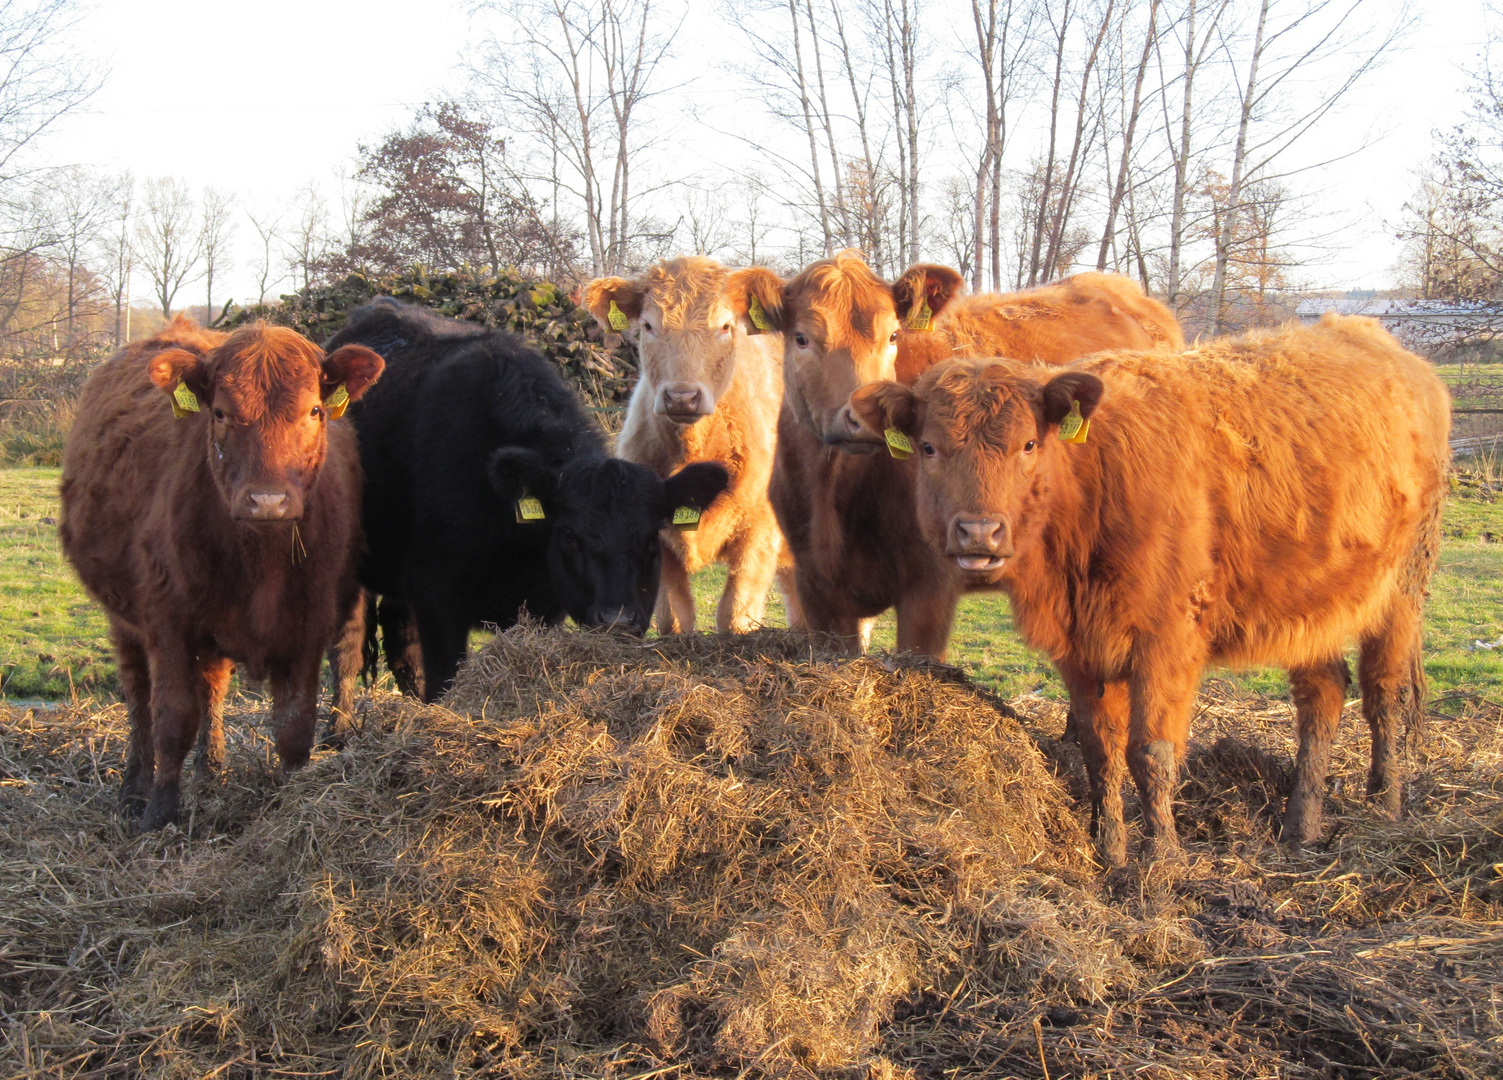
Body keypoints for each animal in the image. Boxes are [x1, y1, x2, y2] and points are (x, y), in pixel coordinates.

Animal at [61, 316, 384, 835]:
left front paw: (289, 801)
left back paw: (213, 772)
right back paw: (134, 790)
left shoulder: (308, 624)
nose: (267, 500)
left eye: (315, 410)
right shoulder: (168, 621)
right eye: (219, 413)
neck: (261, 564)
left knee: (214, 686)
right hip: (125, 621)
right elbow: (172, 718)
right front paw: (160, 812)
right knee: (139, 699)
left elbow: (294, 726)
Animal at [327, 297, 727, 699]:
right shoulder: (436, 601)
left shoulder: (542, 605)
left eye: (650, 537)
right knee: (347, 653)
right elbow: (442, 680)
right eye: (569, 535)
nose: (617, 620)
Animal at [583, 258, 805, 633]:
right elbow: (675, 617)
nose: (682, 397)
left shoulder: (759, 533)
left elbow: (733, 614)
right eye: (648, 325)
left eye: (726, 326)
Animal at [859, 310, 1454, 859]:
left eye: (1028, 444)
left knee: (1385, 694)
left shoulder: (1168, 641)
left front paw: (1163, 861)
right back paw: (1300, 824)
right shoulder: (1081, 649)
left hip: (1402, 588)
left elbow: (1151, 752)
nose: (979, 532)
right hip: (1312, 599)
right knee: (1324, 692)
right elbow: (1101, 751)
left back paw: (1386, 805)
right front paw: (1110, 849)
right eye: (930, 448)